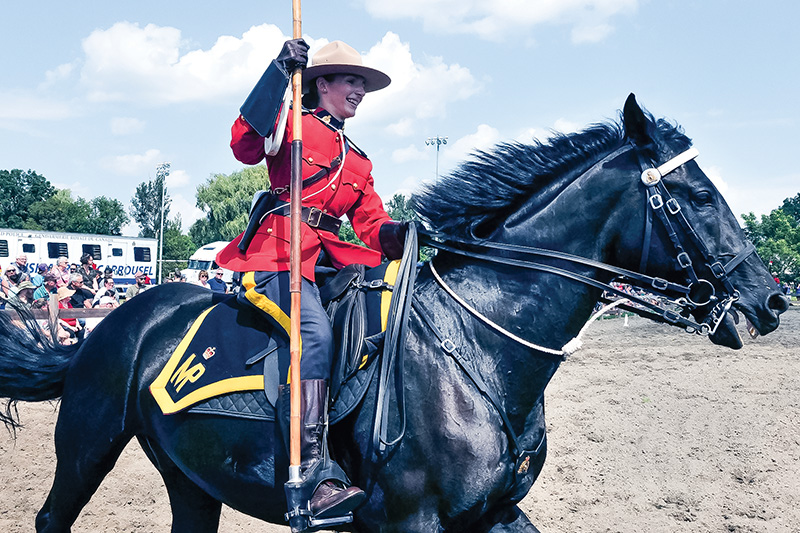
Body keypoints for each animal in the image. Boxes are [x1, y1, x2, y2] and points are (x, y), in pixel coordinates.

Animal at [0, 93, 788, 528]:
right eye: (698, 196)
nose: (771, 297)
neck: (481, 347)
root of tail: (117, 322)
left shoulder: (490, 513)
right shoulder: (411, 519)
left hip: (195, 482)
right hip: (86, 446)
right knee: (50, 516)